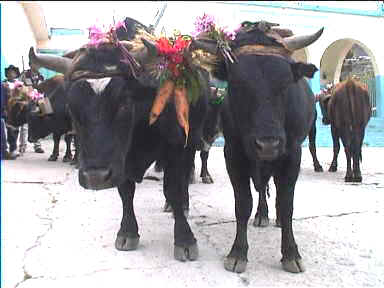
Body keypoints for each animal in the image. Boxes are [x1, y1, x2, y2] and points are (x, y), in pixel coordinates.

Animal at [28, 16, 210, 262]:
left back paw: (182, 204)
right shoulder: (121, 159)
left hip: (190, 141)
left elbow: (173, 185)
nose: (95, 177)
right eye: (72, 106)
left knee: (184, 174)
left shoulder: (175, 146)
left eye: (124, 102)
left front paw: (184, 239)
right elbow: (126, 191)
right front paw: (127, 232)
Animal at [194, 21, 322, 274]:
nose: (268, 144)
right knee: (262, 186)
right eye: (238, 84)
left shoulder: (292, 153)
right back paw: (262, 215)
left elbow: (287, 202)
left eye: (286, 83)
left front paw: (291, 253)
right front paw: (237, 253)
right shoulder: (234, 154)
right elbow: (243, 203)